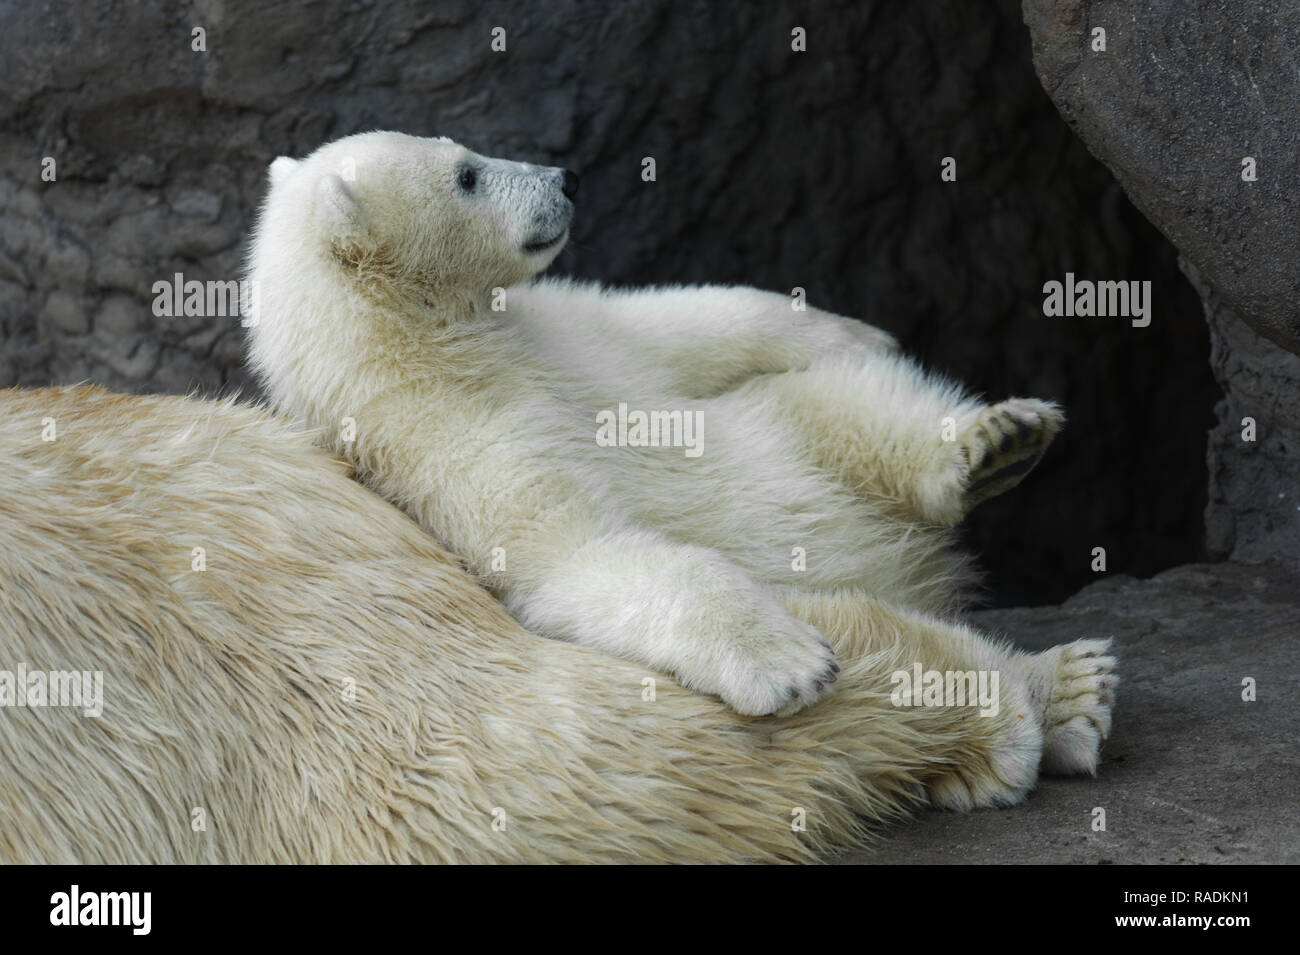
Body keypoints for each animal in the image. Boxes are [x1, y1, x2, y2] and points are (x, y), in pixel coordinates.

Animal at [245, 134, 1118, 784]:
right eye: (466, 176)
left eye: (461, 149)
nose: (565, 179)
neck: (430, 344)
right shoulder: (437, 439)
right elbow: (578, 552)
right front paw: (792, 666)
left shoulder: (561, 333)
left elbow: (681, 326)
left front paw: (857, 329)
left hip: (786, 432)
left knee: (850, 409)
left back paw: (996, 445)